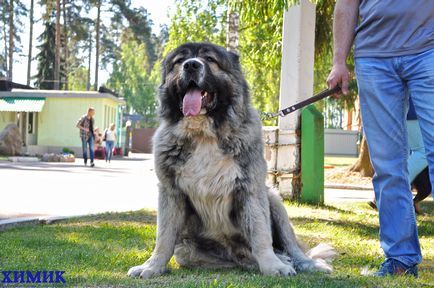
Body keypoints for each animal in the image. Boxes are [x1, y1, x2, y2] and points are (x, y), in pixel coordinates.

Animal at [127, 41, 338, 278]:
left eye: (209, 59)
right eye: (179, 61)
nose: (191, 65)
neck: (204, 135)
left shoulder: (251, 190)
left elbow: (261, 234)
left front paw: (273, 266)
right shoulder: (170, 192)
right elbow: (163, 237)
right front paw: (152, 266)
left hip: (274, 201)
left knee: (291, 246)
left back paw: (302, 262)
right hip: (187, 251)